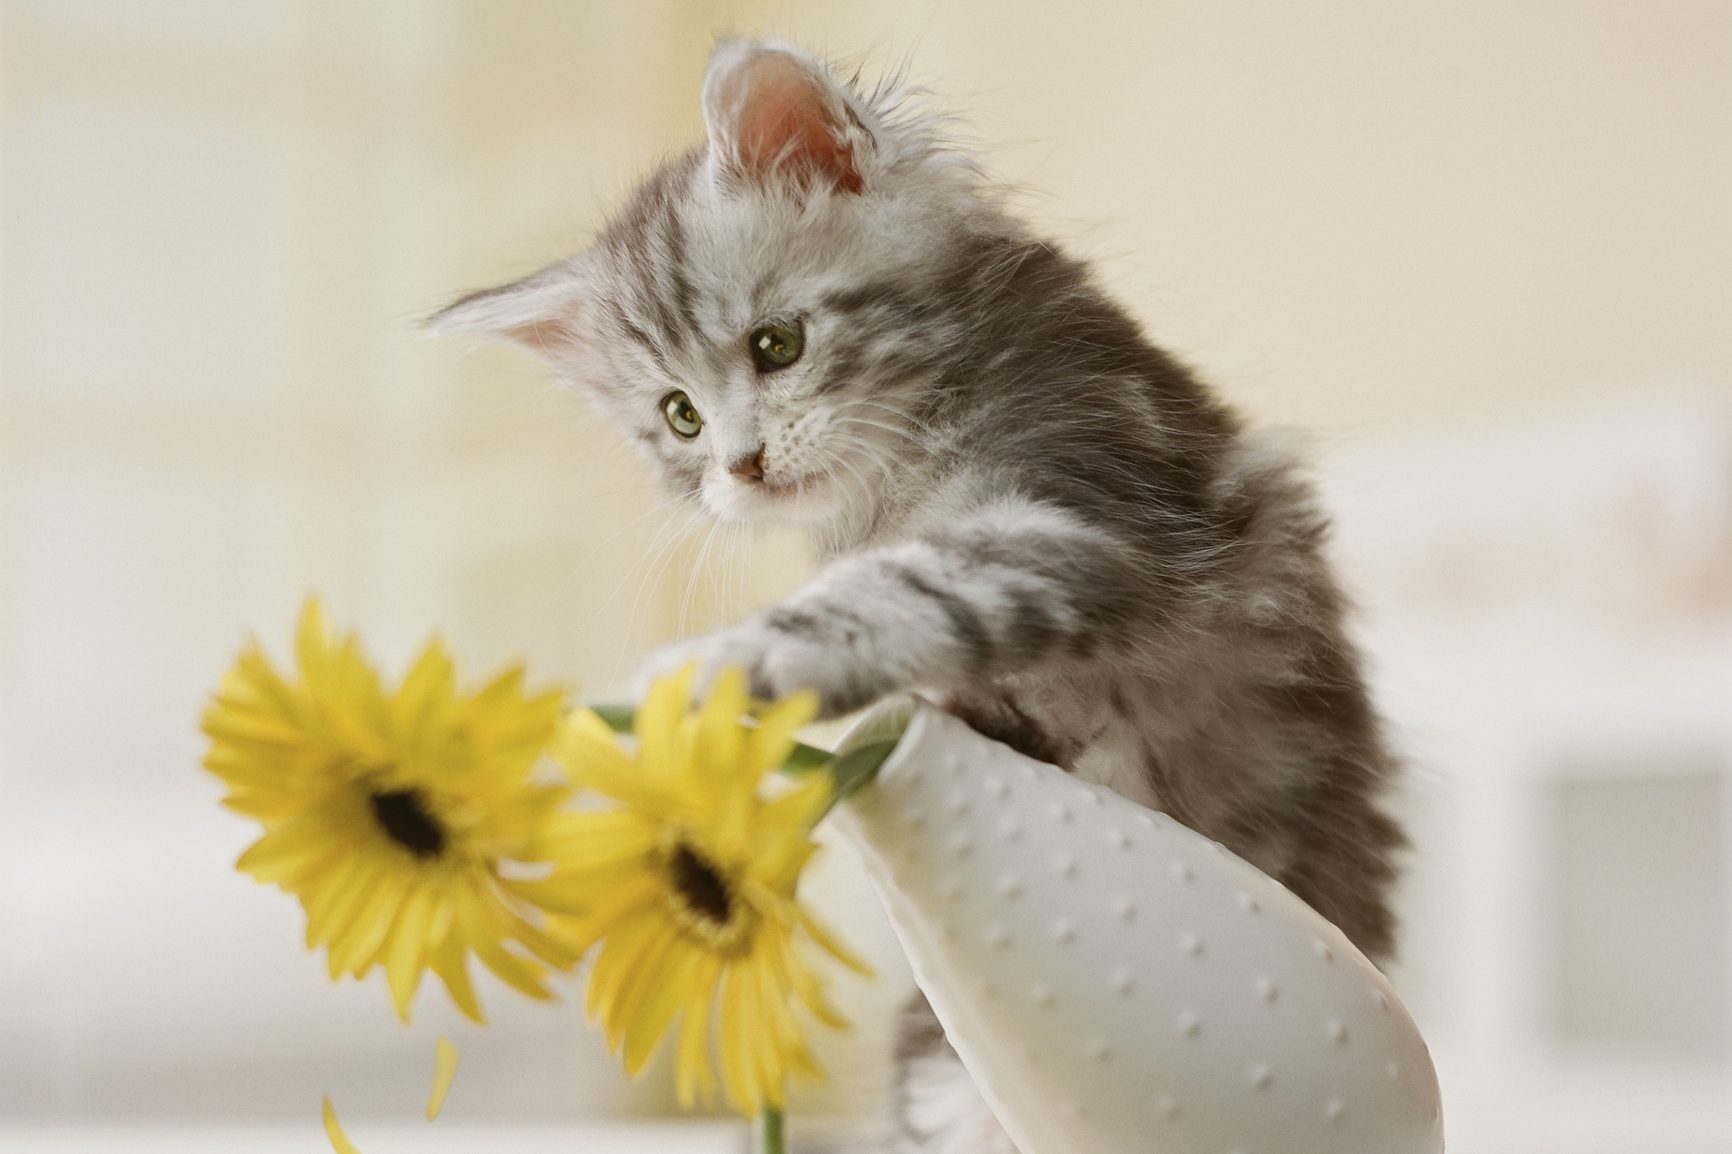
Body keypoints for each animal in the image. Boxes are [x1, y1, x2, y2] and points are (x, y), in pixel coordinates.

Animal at [433, 38, 1406, 1150]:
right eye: (679, 416)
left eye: (777, 345)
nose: (740, 466)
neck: (904, 455)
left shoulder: (1081, 516)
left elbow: (902, 592)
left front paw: (718, 670)